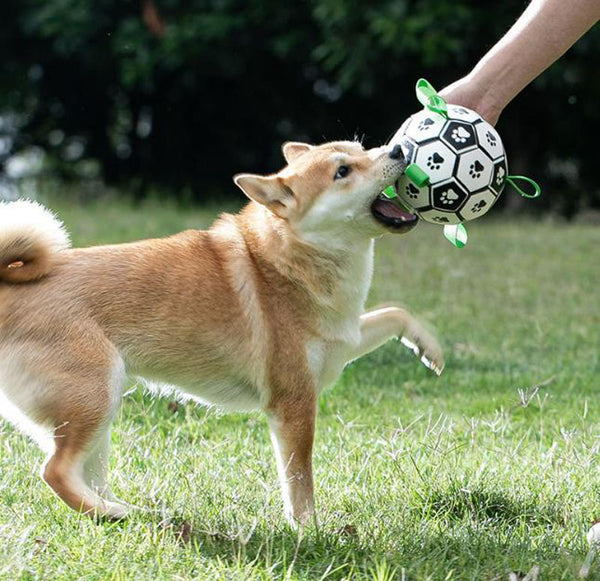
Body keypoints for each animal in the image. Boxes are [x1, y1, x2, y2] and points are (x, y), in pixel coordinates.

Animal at [0, 142, 440, 524]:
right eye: (342, 172)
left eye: (362, 148)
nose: (399, 149)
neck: (289, 261)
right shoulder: (295, 402)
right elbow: (299, 479)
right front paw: (309, 528)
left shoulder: (345, 340)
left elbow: (396, 313)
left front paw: (429, 347)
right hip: (96, 394)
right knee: (55, 471)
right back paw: (111, 512)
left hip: (99, 412)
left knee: (84, 475)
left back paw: (123, 511)